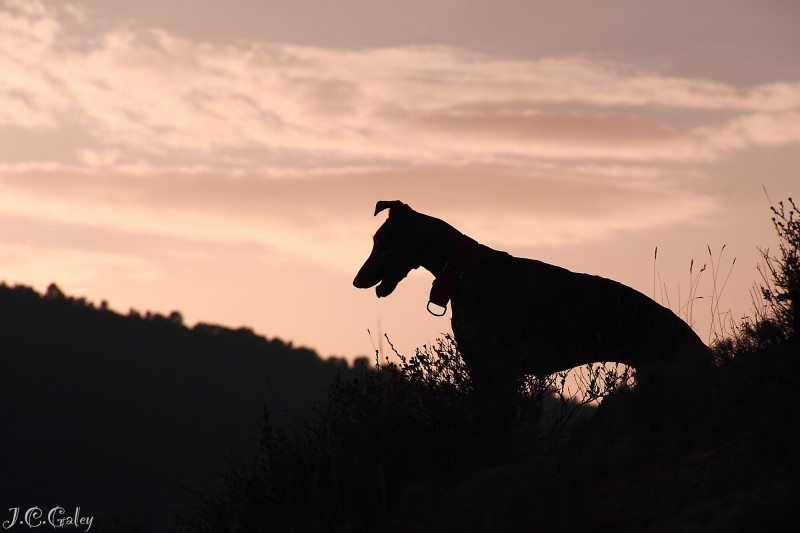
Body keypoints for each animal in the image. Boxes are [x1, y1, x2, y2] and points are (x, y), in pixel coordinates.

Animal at [354, 202, 716, 396]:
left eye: (379, 239)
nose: (357, 281)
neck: (461, 270)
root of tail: (706, 352)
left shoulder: (499, 369)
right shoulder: (481, 368)